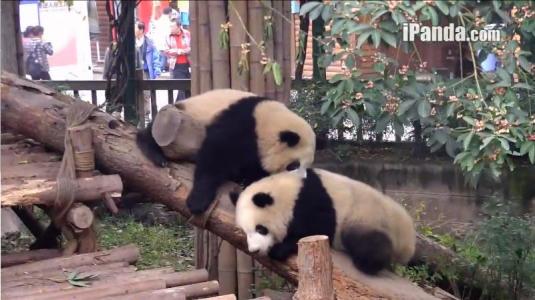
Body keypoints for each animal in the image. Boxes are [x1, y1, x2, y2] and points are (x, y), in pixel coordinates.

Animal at [232, 168, 416, 276]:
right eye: (245, 231)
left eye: (260, 229)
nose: (255, 250)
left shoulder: (311, 201)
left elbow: (317, 228)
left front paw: (279, 249)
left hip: (368, 217)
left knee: (367, 242)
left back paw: (367, 264)